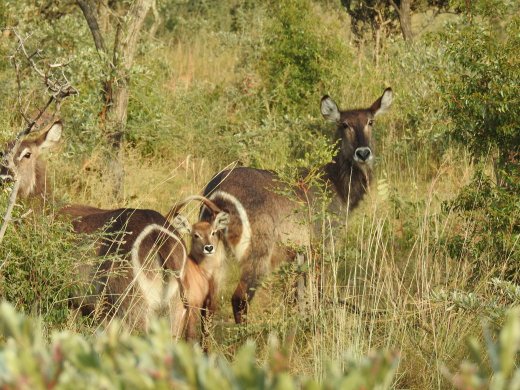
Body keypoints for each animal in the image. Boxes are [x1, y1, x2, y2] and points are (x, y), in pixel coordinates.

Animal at [200, 88, 394, 322]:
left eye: (370, 121)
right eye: (344, 124)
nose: (363, 153)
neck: (334, 183)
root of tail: (218, 192)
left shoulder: (299, 254)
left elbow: (298, 296)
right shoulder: (321, 244)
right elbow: (317, 291)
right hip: (257, 255)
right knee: (239, 299)